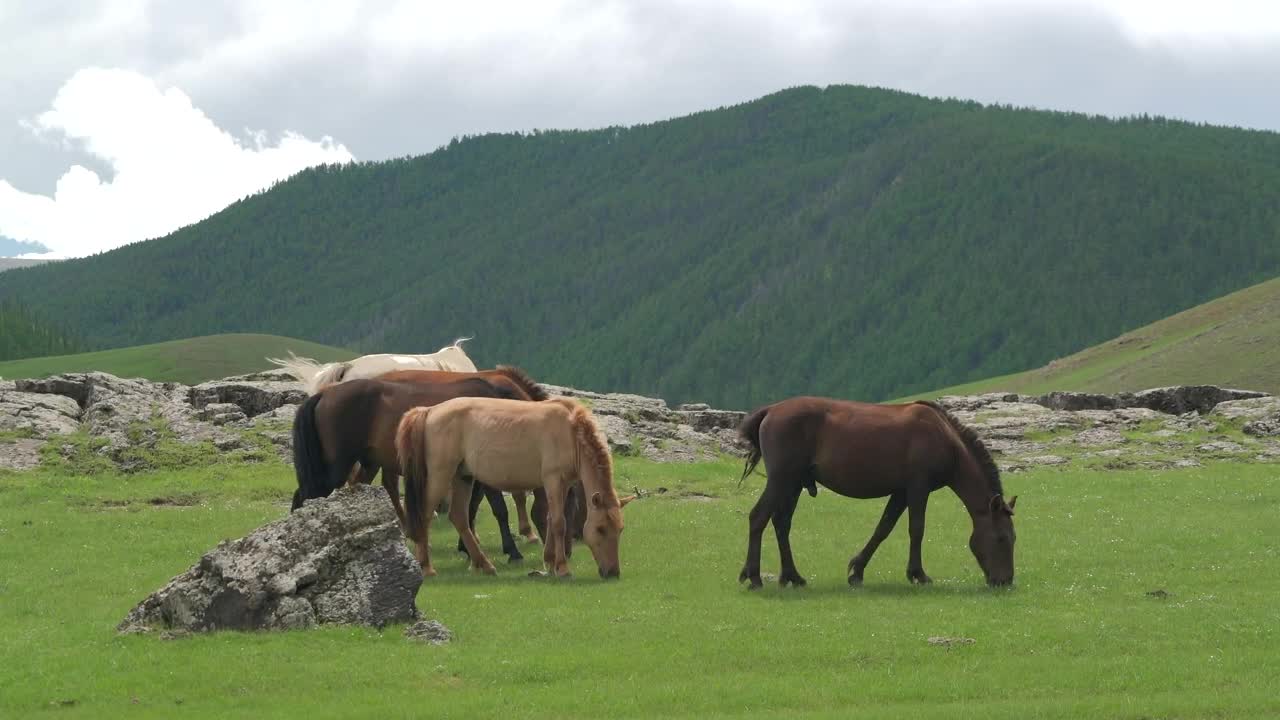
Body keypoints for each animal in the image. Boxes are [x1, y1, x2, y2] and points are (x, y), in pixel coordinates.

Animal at [394, 394, 624, 579]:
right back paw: (426, 567)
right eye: (601, 528)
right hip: (441, 475)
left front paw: (549, 561)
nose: (612, 572)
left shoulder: (564, 483)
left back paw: (484, 565)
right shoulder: (553, 480)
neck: (570, 432)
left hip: (463, 477)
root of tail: (429, 410)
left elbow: (551, 519)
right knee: (424, 515)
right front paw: (562, 567)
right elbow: (559, 523)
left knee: (458, 517)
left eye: (620, 529)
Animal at [737, 394, 1013, 586]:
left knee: (781, 523)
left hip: (792, 485)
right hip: (781, 480)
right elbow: (917, 529)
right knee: (758, 517)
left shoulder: (901, 492)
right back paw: (754, 577)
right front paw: (918, 574)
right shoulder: (918, 487)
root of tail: (771, 410)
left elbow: (883, 528)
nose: (1005, 581)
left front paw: (857, 570)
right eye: (1002, 538)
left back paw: (792, 576)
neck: (944, 438)